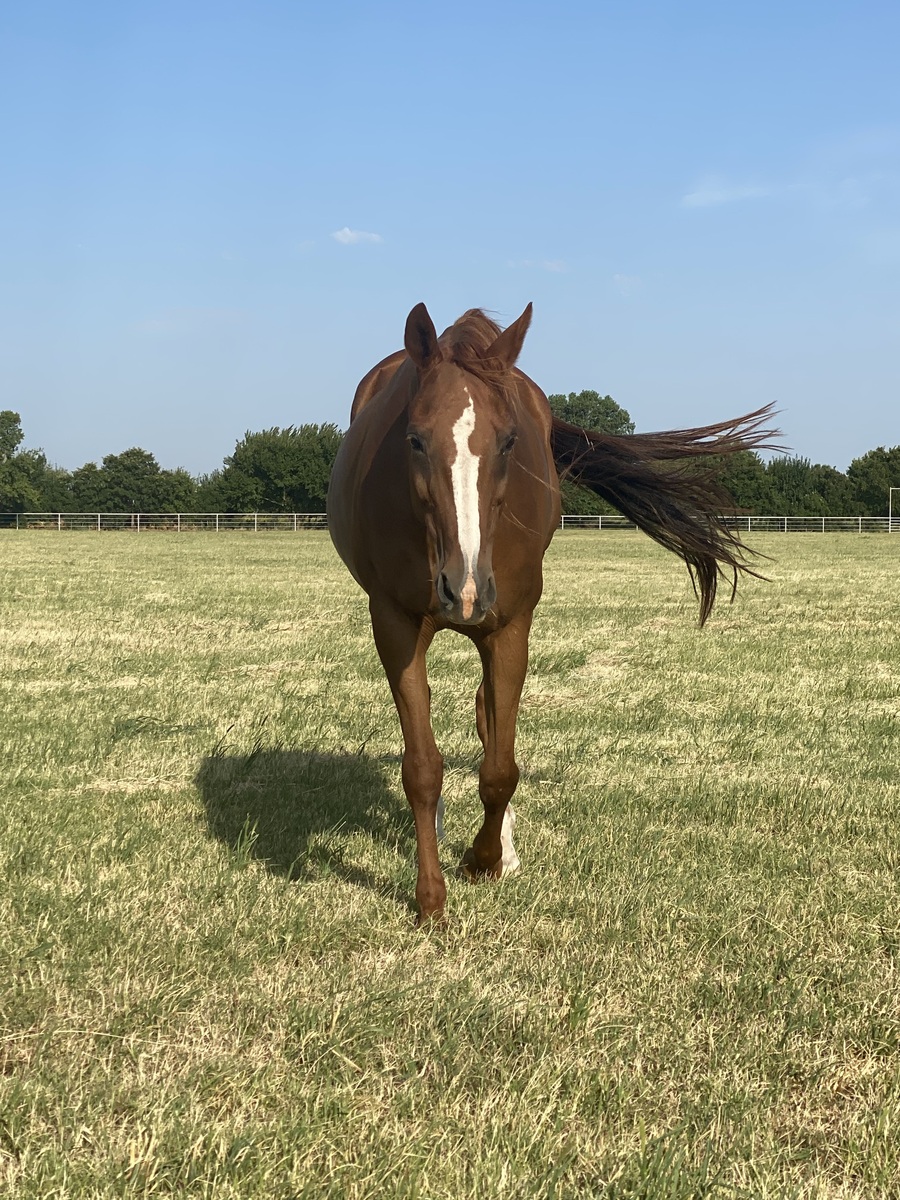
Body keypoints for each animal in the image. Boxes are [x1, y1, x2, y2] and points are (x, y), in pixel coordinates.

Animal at [327, 303, 776, 923]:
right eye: (414, 440)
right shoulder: (395, 624)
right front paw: (431, 897)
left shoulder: (511, 626)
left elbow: (499, 768)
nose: (463, 589)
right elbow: (421, 767)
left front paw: (485, 859)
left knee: (488, 719)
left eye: (509, 441)